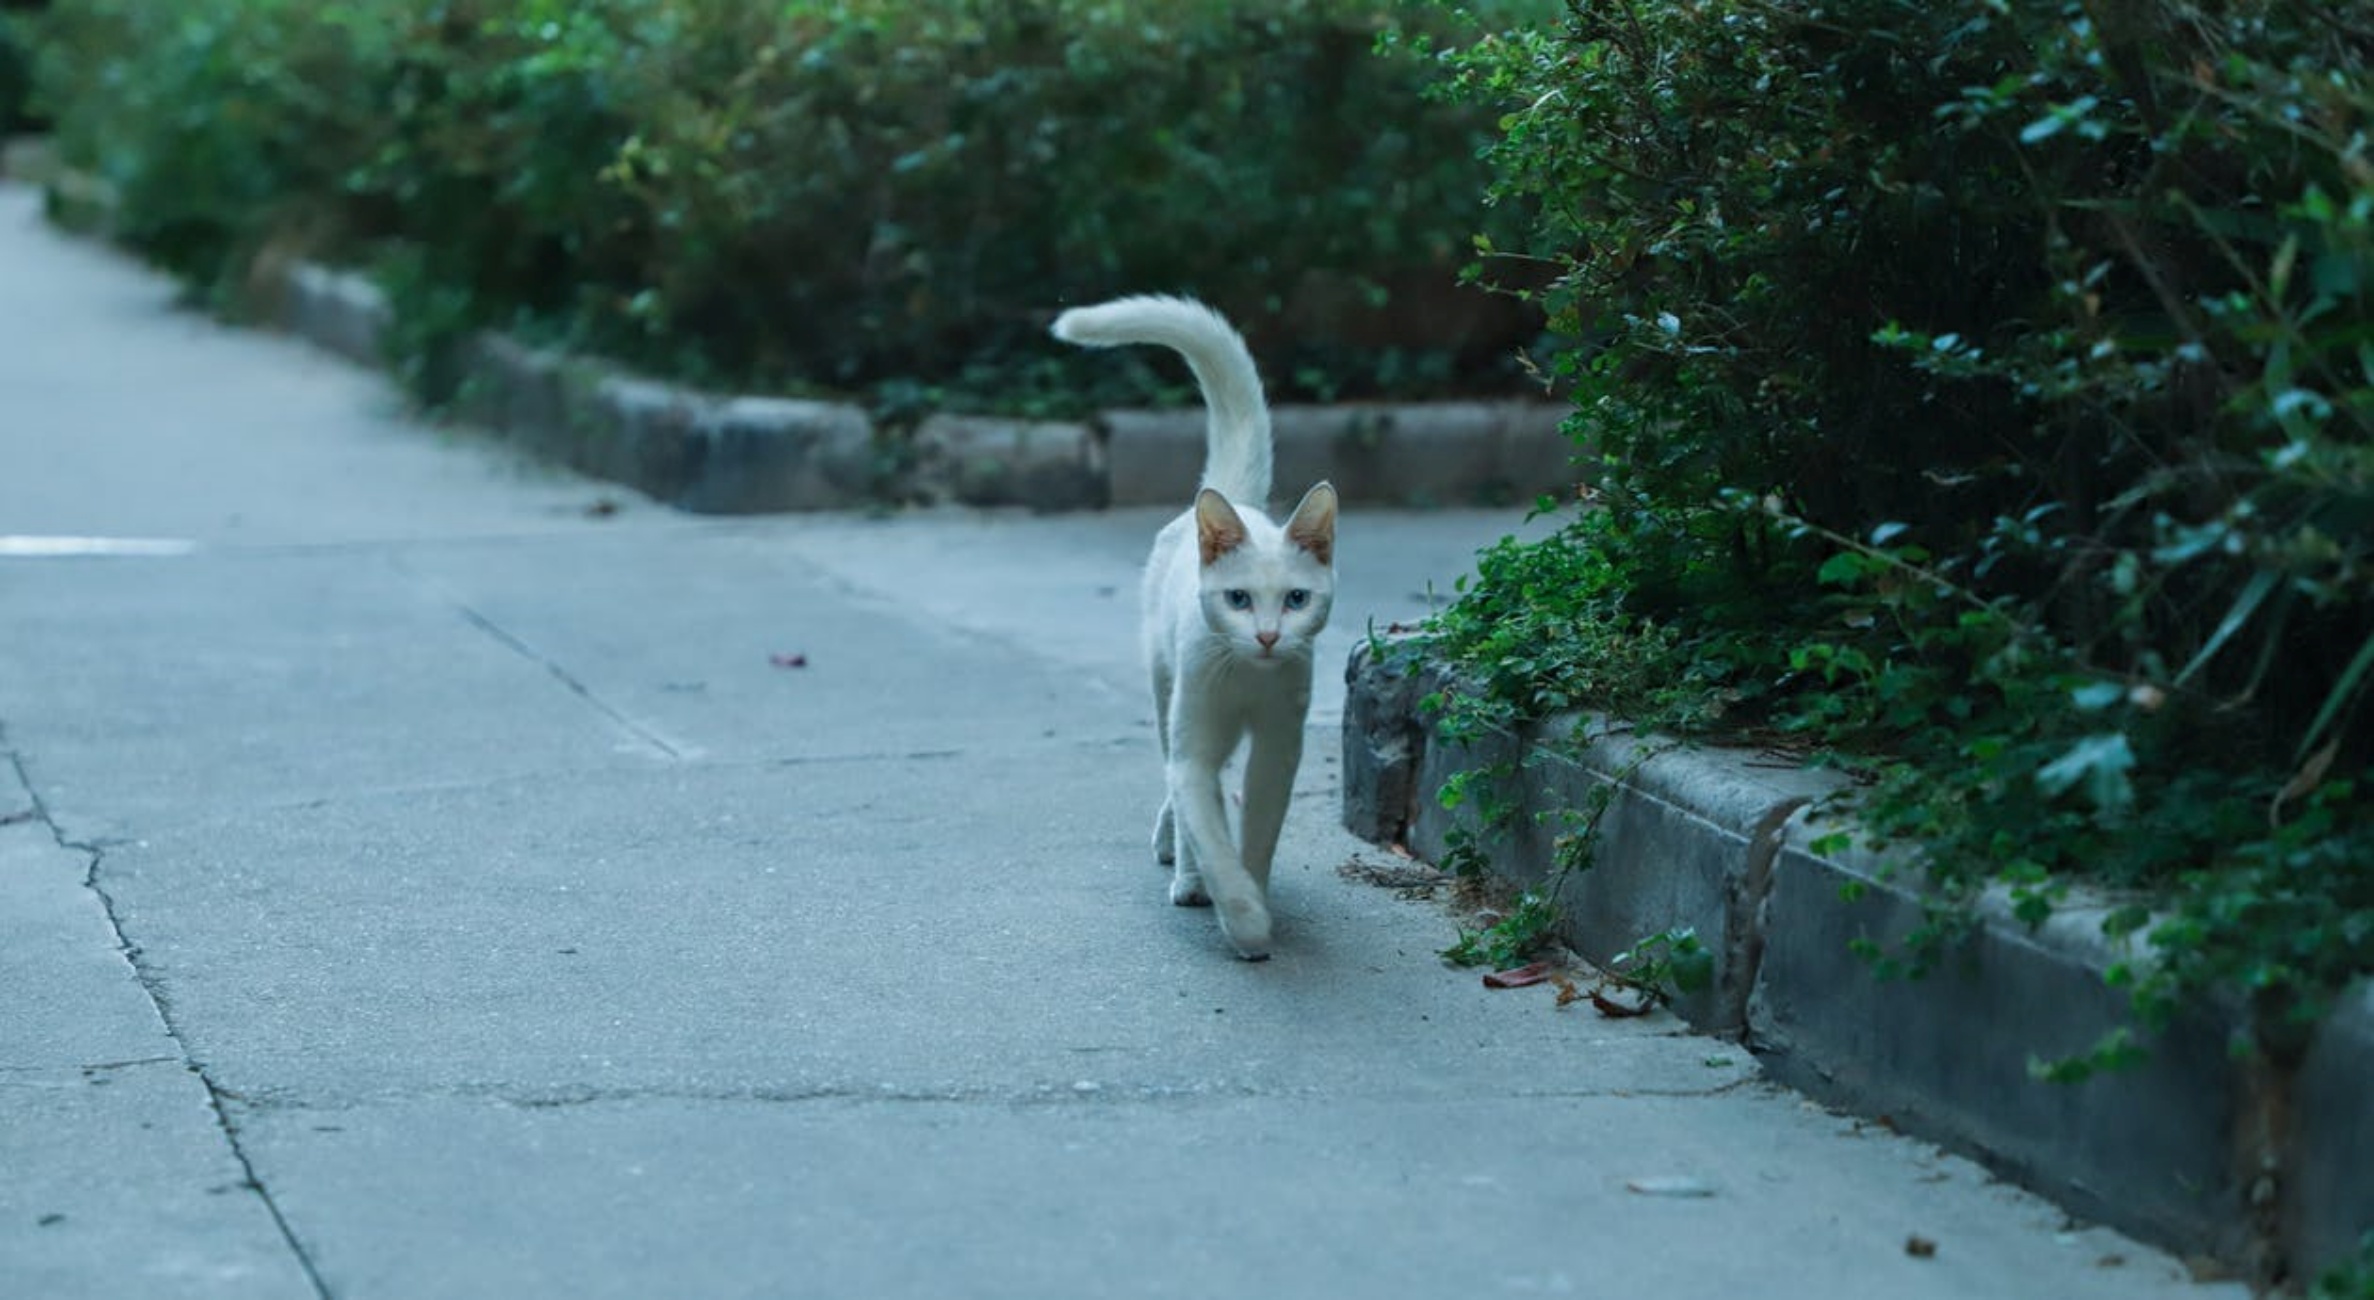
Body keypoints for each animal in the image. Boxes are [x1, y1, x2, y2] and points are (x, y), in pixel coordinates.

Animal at [1054, 300, 1338, 958]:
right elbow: (1207, 829)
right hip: (1167, 692)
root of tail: (1231, 497)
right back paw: (1185, 875)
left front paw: (1254, 896)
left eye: (1296, 600)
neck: (1248, 682)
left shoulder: (1280, 745)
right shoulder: (1196, 745)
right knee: (1178, 786)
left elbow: (1257, 830)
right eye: (1238, 599)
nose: (1267, 637)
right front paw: (1241, 917)